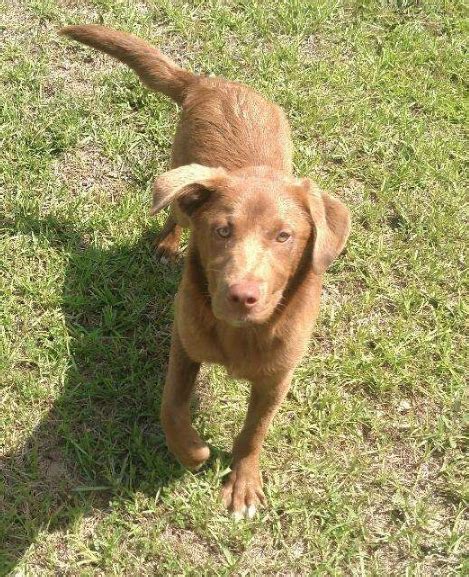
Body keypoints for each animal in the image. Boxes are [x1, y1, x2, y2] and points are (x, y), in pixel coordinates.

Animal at [60, 25, 350, 516]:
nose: (241, 295)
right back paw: (166, 245)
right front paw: (191, 452)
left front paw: (243, 484)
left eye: (284, 236)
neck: (241, 334)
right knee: (174, 211)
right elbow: (172, 405)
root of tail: (211, 82)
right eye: (222, 230)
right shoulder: (185, 339)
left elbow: (254, 431)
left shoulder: (277, 377)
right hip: (181, 181)